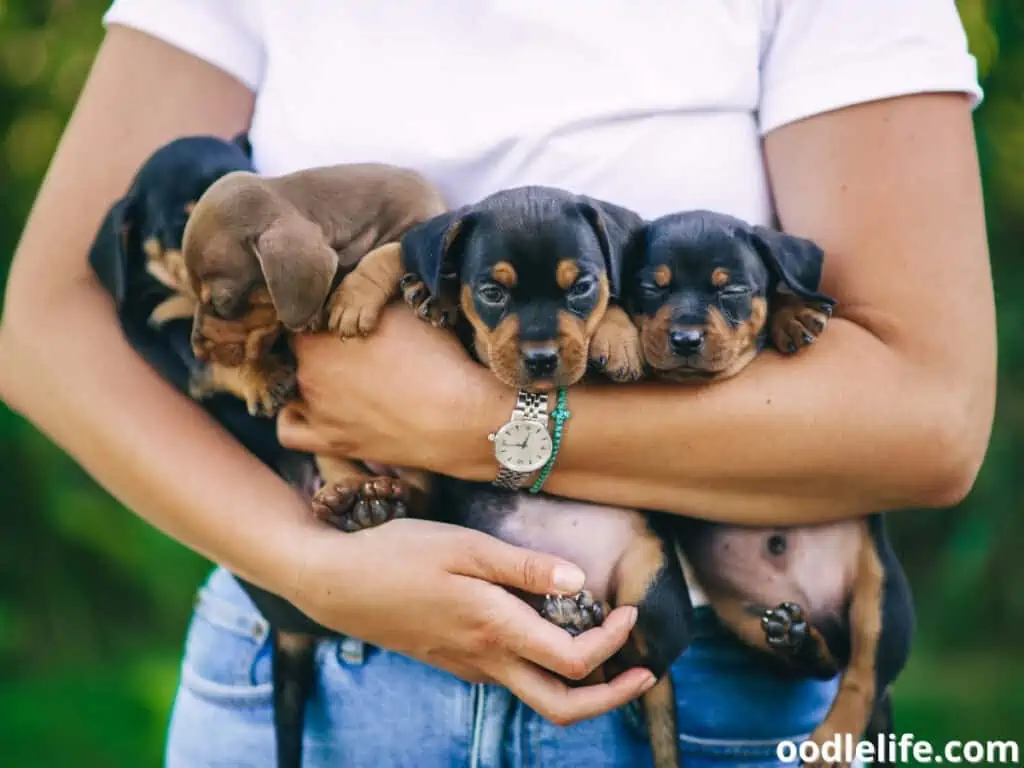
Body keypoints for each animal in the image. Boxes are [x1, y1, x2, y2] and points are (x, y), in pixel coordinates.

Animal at [179, 162, 448, 768]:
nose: (197, 348)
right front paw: (258, 377)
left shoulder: (424, 219)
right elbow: (267, 343)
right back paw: (349, 499)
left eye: (223, 302)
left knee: (420, 494)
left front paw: (354, 297)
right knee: (342, 468)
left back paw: (377, 504)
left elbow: (389, 251)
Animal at [325, 186, 696, 768]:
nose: (541, 359)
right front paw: (393, 293)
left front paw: (619, 339)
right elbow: (400, 251)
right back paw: (370, 509)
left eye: (581, 286)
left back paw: (576, 622)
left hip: (651, 580)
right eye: (492, 292)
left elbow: (611, 300)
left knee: (618, 660)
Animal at [626, 210, 917, 768]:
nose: (685, 339)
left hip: (885, 597)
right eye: (652, 287)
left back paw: (828, 743)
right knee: (822, 662)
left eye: (732, 290)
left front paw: (795, 313)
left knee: (863, 675)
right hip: (740, 617)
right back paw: (793, 638)